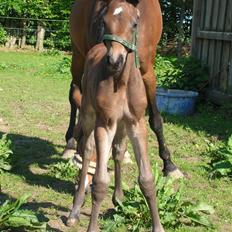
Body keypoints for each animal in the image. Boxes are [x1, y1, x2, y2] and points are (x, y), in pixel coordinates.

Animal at [67, 0, 165, 231]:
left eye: (135, 23)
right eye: (105, 21)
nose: (115, 60)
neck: (121, 82)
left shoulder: (136, 123)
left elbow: (147, 179)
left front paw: (158, 226)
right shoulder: (105, 123)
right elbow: (100, 182)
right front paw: (92, 226)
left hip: (121, 123)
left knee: (118, 150)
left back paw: (118, 198)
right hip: (89, 113)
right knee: (87, 149)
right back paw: (76, 208)